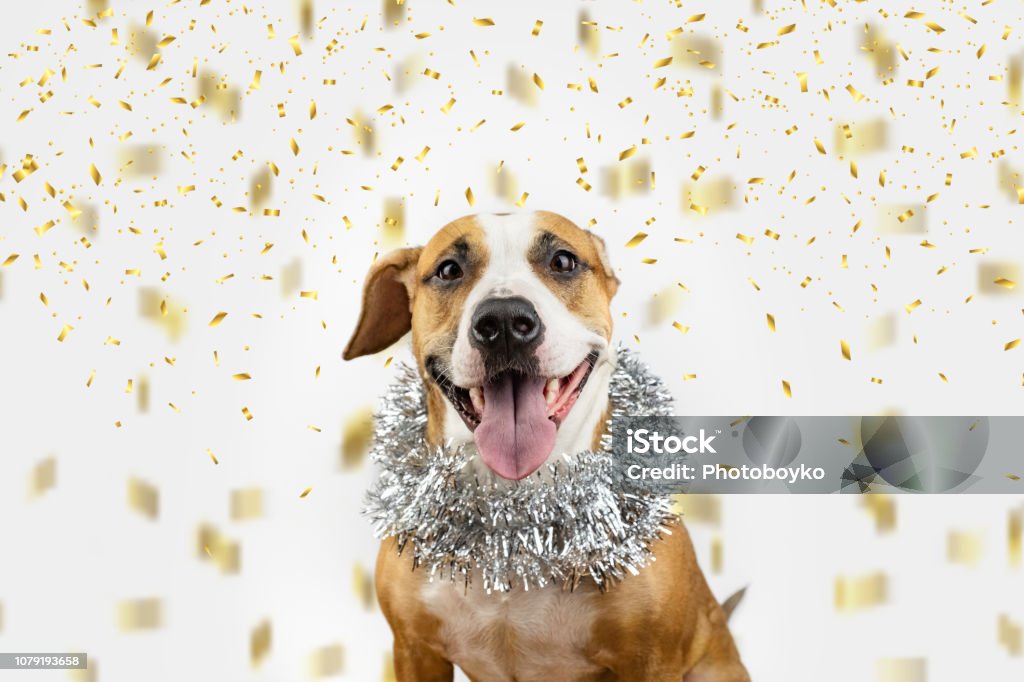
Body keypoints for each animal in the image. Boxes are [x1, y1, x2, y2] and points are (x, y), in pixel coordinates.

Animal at [339, 209, 749, 675]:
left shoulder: (652, 662)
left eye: (563, 261)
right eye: (448, 270)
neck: (517, 519)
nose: (503, 322)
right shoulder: (414, 650)